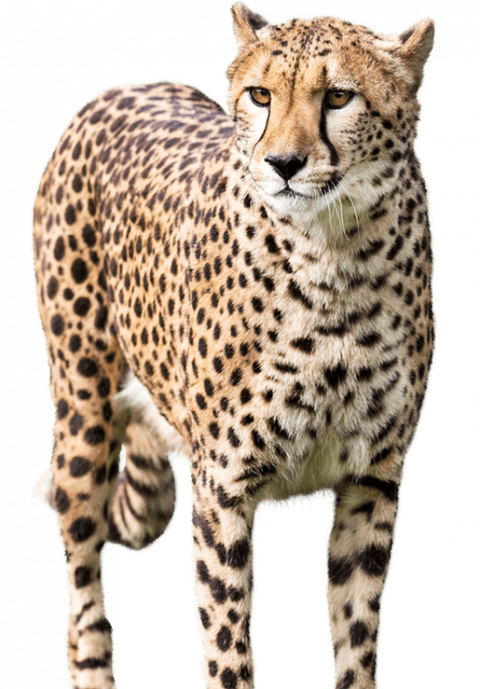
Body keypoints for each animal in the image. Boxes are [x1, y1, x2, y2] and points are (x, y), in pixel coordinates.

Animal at [31, 3, 435, 688]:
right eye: (261, 95)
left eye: (338, 96)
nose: (284, 163)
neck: (335, 255)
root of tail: (120, 88)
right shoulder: (222, 487)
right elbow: (227, 648)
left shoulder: (371, 480)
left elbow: (356, 641)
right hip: (83, 412)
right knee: (83, 578)